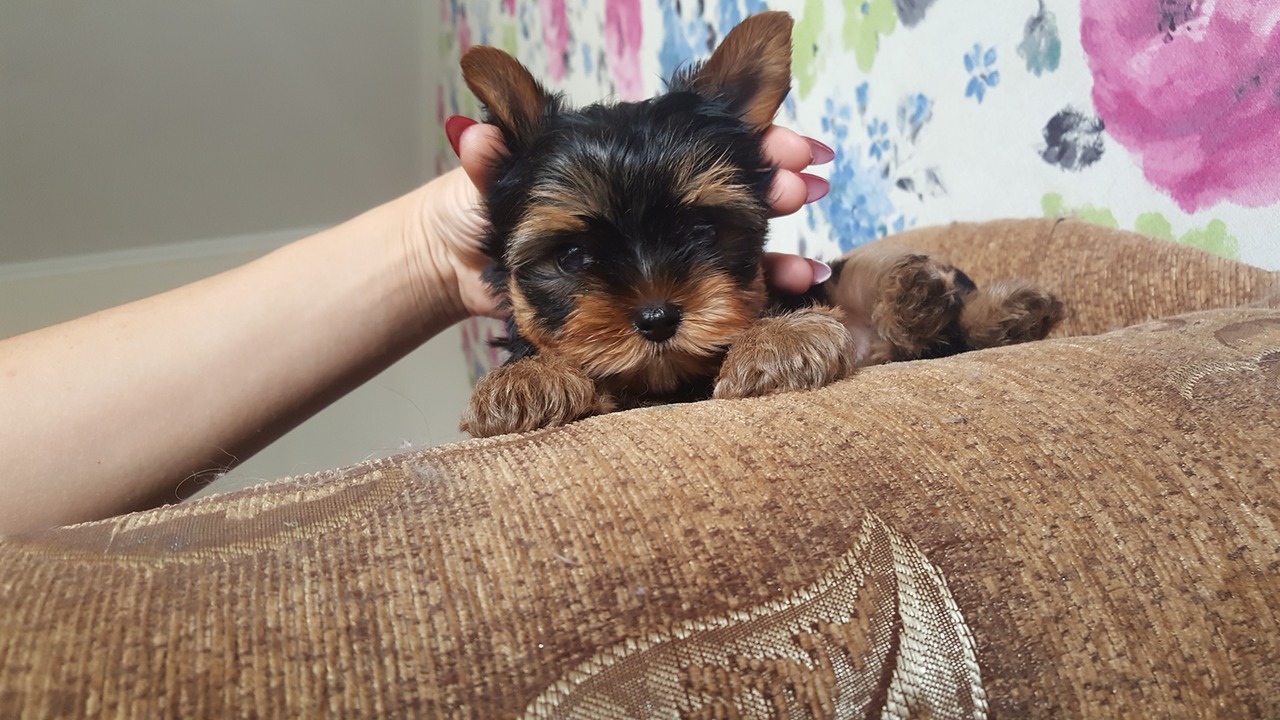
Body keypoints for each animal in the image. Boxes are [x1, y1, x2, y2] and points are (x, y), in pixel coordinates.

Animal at [458, 11, 1062, 437]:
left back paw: (966, 303)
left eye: (703, 231)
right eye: (572, 258)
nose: (656, 317)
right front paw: (527, 379)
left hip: (853, 281)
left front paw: (777, 339)